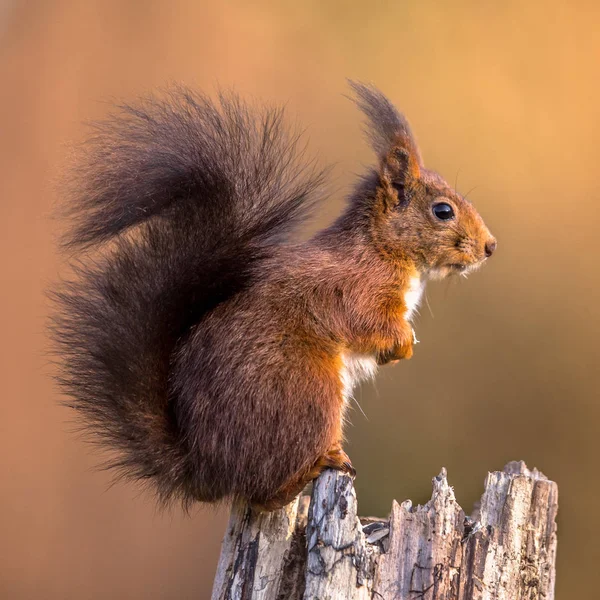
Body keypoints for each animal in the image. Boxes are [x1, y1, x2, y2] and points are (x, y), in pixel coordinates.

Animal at [54, 79, 496, 510]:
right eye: (443, 211)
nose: (490, 247)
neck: (381, 247)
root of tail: (206, 471)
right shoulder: (357, 288)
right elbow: (366, 323)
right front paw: (402, 344)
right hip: (307, 390)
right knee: (263, 494)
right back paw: (315, 468)